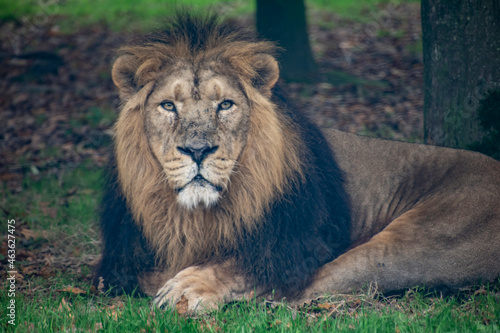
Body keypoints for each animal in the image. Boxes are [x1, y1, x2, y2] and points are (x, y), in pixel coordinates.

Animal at [94, 13, 500, 314]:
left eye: (225, 104)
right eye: (168, 106)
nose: (198, 150)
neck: (195, 215)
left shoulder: (301, 240)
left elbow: (247, 264)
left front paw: (191, 285)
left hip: (422, 237)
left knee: (307, 285)